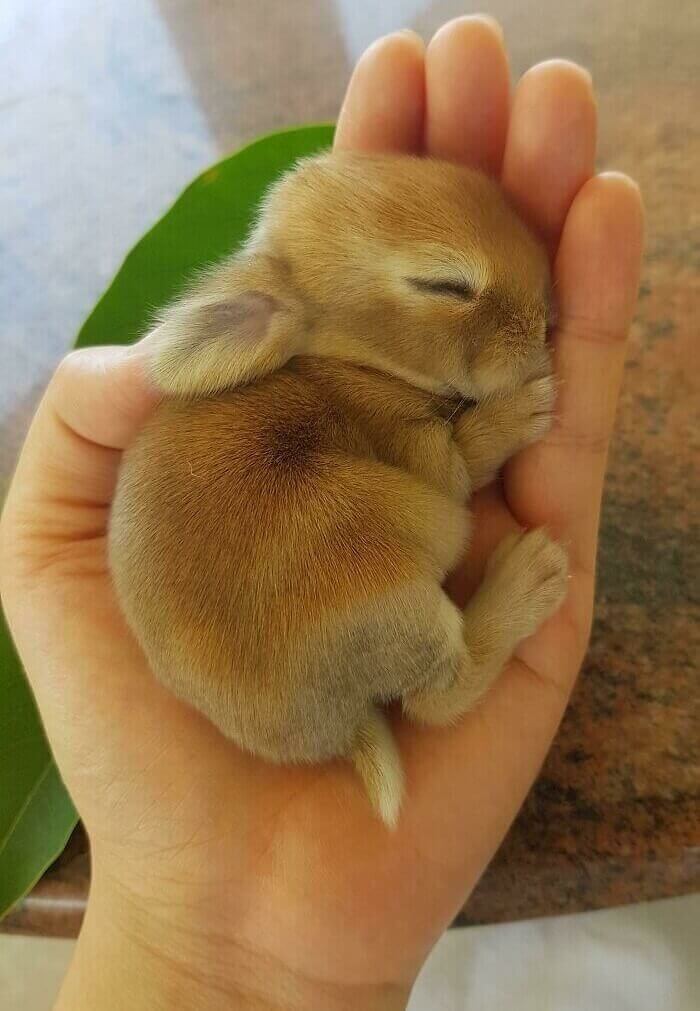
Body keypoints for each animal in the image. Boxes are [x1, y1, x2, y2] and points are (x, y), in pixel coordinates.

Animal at [108, 151, 568, 827]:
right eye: (445, 286)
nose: (546, 321)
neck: (349, 363)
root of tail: (335, 733)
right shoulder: (419, 451)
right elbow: (467, 457)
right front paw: (528, 406)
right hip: (387, 582)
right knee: (436, 698)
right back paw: (531, 576)